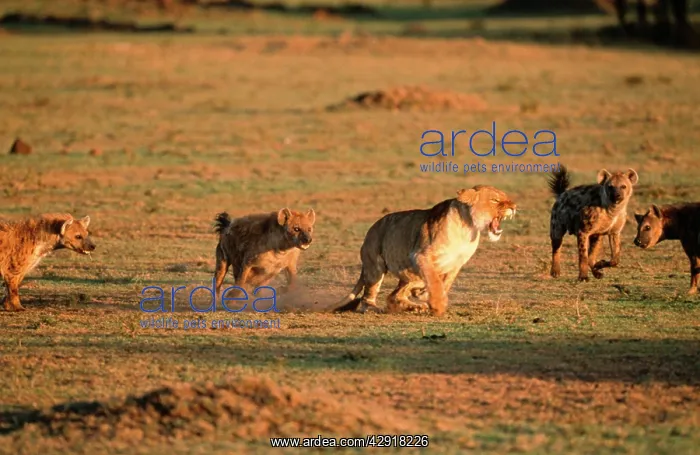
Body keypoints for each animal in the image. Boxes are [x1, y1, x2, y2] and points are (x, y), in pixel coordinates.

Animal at [332, 185, 516, 316]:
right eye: (495, 200)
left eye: (507, 198)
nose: (514, 207)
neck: (468, 227)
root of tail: (371, 229)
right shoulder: (420, 255)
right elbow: (434, 281)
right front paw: (438, 305)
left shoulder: (457, 263)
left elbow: (445, 283)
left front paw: (425, 295)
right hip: (375, 267)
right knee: (367, 299)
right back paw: (377, 307)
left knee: (394, 295)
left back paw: (416, 304)